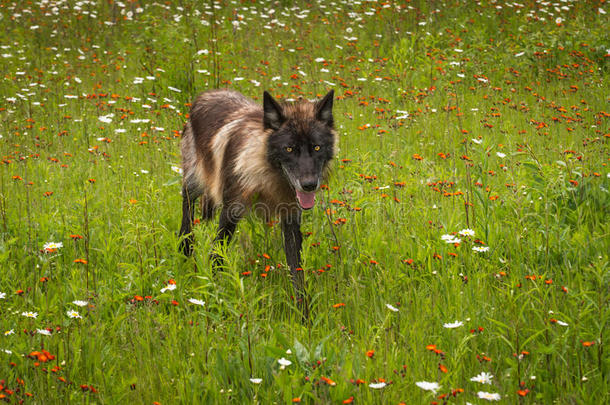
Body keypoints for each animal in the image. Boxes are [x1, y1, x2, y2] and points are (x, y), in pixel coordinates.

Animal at [178, 87, 334, 316]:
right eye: (289, 149)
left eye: (316, 147)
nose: (309, 185)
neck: (267, 175)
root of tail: (209, 93)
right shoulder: (229, 214)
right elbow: (217, 258)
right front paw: (213, 297)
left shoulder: (290, 220)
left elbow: (297, 274)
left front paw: (303, 316)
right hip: (195, 183)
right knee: (187, 207)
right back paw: (185, 249)